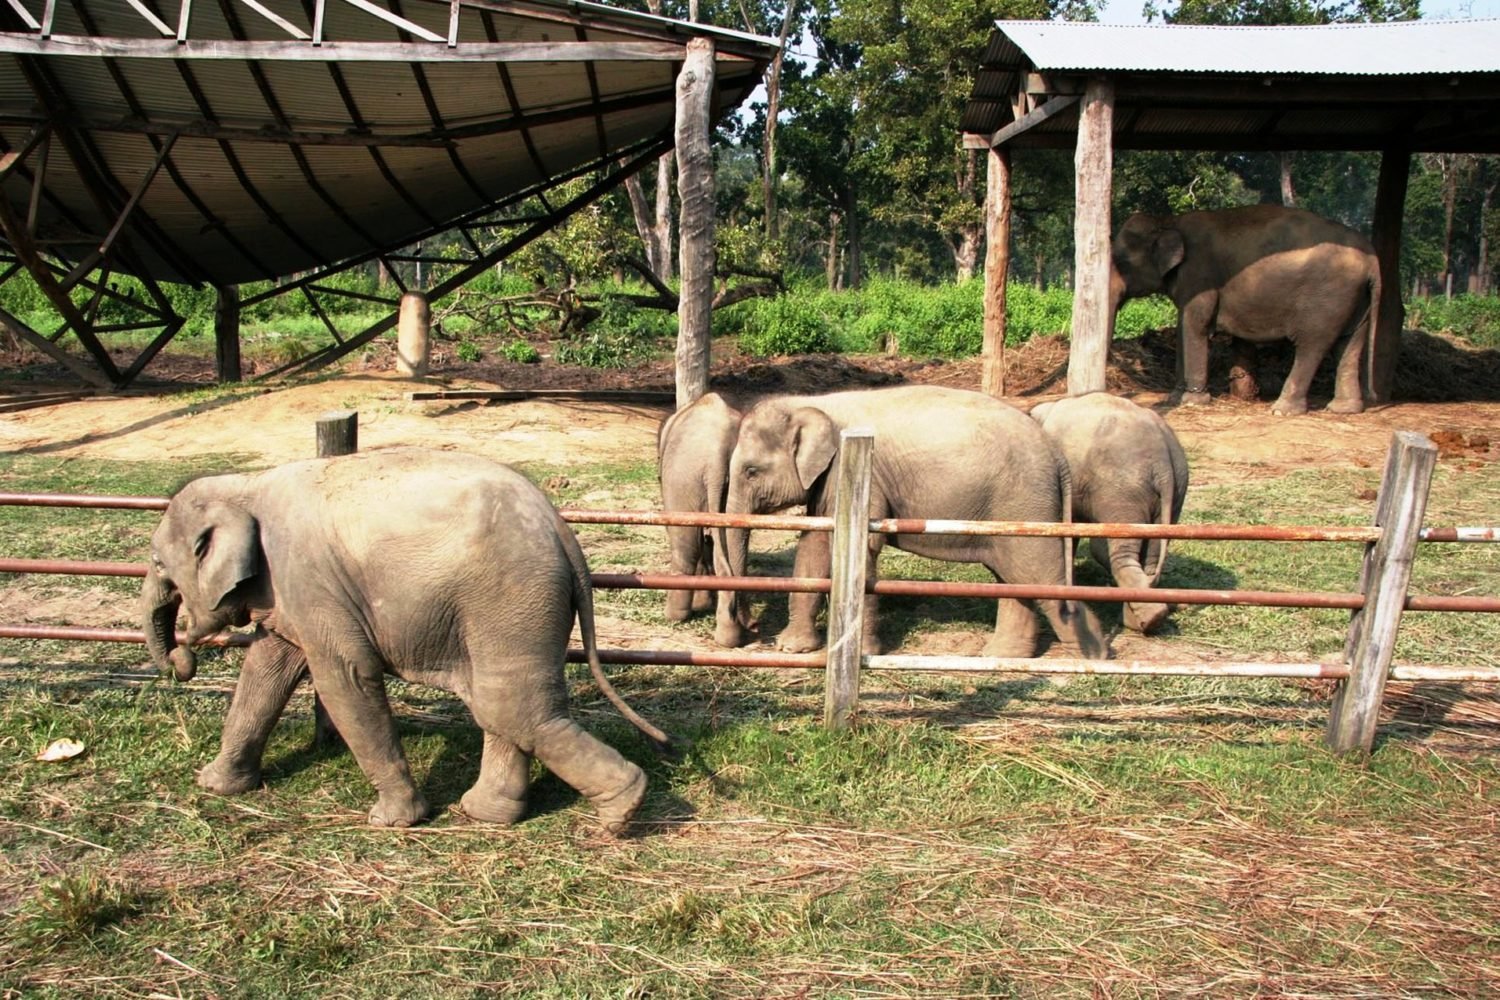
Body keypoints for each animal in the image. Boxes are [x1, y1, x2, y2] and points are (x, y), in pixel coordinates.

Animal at [139, 448, 668, 835]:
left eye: (159, 563)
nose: (181, 660)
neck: (245, 485)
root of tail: (563, 531)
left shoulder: (308, 577)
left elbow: (345, 677)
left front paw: (392, 822)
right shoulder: (289, 592)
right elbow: (267, 669)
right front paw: (215, 786)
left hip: (510, 595)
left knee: (513, 709)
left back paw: (623, 811)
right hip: (517, 607)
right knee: (503, 703)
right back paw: (487, 814)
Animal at [723, 385, 1108, 659]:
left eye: (751, 471)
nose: (753, 629)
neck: (813, 404)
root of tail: (1056, 453)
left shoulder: (860, 472)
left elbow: (859, 547)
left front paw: (864, 653)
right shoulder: (828, 479)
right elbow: (815, 546)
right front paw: (791, 648)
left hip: (1025, 502)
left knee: (1040, 574)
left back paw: (1092, 655)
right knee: (1015, 578)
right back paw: (1002, 657)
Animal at [1029, 392, 1189, 634]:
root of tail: (1163, 460)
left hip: (1122, 492)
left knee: (1117, 553)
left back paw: (1142, 619)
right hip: (1175, 490)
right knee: (1151, 555)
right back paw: (1148, 618)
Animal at [1110, 204, 1379, 416]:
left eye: (1121, 262)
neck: (1168, 221)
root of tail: (1372, 260)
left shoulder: (1200, 274)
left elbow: (1195, 324)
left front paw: (1192, 401)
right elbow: (1183, 325)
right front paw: (1174, 398)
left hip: (1327, 298)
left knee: (1312, 345)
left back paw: (1282, 409)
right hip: (1354, 299)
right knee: (1350, 344)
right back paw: (1344, 409)